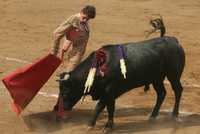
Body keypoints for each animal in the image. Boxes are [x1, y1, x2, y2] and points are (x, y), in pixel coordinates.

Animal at [54, 17, 184, 130]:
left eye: (65, 92)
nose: (58, 109)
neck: (98, 68)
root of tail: (174, 41)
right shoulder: (109, 94)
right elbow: (110, 108)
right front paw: (107, 125)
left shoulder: (109, 91)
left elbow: (100, 107)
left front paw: (92, 124)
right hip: (156, 78)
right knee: (161, 93)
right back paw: (152, 116)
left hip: (173, 75)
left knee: (177, 90)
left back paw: (174, 115)